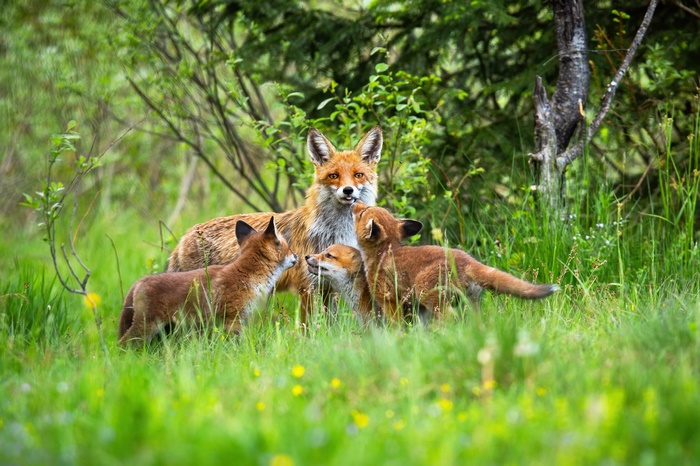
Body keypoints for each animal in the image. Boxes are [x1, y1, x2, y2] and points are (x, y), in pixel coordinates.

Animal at [118, 217, 297, 346]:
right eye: (288, 248)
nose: (297, 256)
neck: (248, 275)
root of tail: (139, 281)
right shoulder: (232, 319)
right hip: (147, 326)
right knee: (124, 343)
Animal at [166, 127, 383, 323]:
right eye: (334, 176)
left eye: (358, 175)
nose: (348, 190)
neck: (334, 232)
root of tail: (185, 236)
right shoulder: (308, 286)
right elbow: (309, 327)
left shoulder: (330, 286)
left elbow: (330, 325)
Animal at [352, 203, 558, 323]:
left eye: (362, 213)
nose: (354, 200)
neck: (384, 252)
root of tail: (468, 261)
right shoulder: (414, 307)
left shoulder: (388, 300)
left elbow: (396, 327)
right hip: (469, 303)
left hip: (429, 295)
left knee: (450, 318)